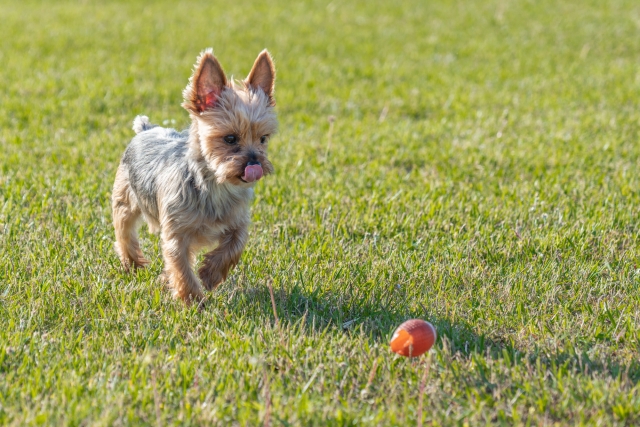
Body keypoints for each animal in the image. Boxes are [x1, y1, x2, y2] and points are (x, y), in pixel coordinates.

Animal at [111, 50, 276, 304]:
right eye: (230, 139)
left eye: (263, 138)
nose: (255, 164)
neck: (215, 185)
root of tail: (147, 128)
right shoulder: (176, 232)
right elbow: (180, 265)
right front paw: (193, 300)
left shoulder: (237, 220)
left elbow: (236, 244)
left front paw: (210, 274)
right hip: (125, 198)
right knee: (124, 232)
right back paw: (134, 264)